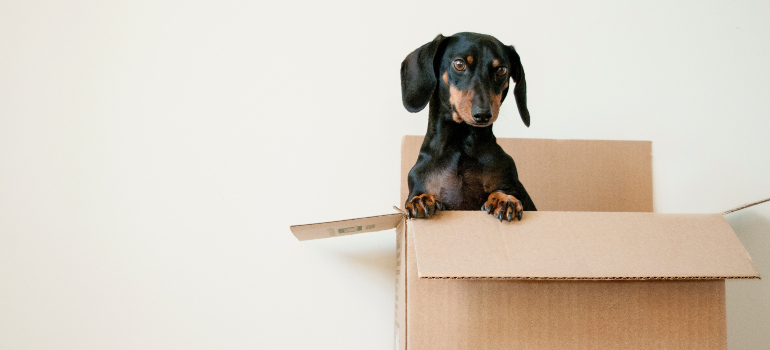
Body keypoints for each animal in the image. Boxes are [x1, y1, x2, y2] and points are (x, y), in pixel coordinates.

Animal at [400, 32, 536, 221]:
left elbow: (505, 191)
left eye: (501, 70)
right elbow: (418, 195)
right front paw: (421, 199)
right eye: (459, 64)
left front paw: (504, 199)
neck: (461, 145)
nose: (483, 114)